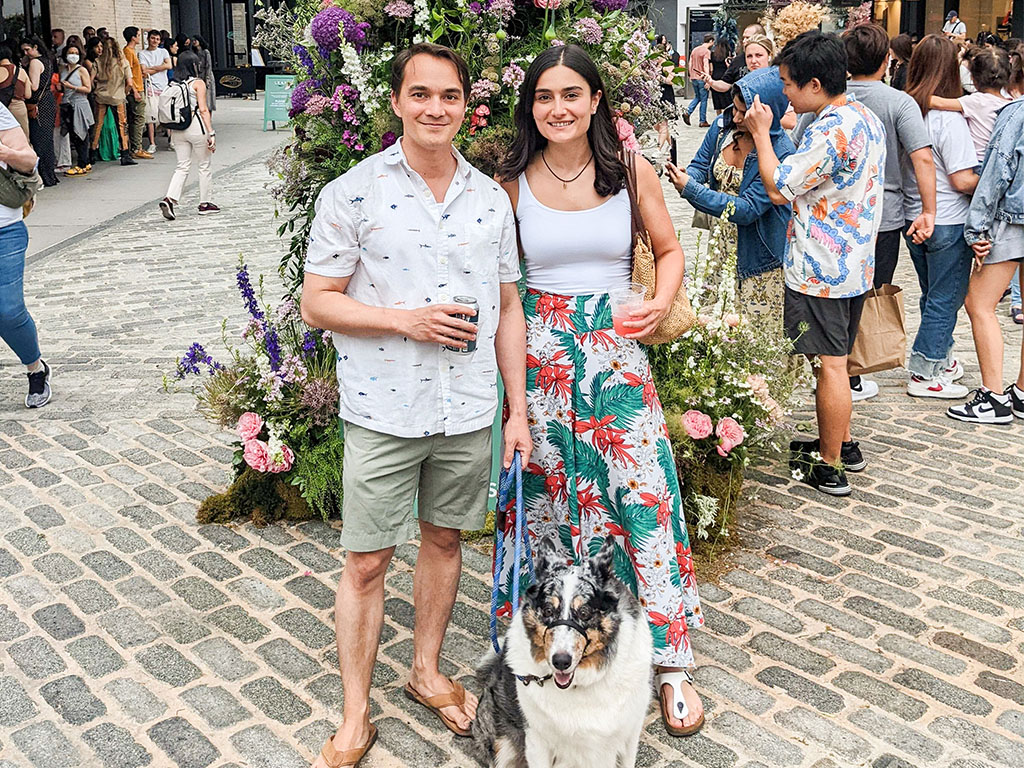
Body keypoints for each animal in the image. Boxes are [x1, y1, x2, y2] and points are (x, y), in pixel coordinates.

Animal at [468, 536, 651, 768]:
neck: (581, 684)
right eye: (548, 611)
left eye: (584, 612)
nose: (560, 661)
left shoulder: (629, 736)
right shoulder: (537, 740)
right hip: (503, 745)